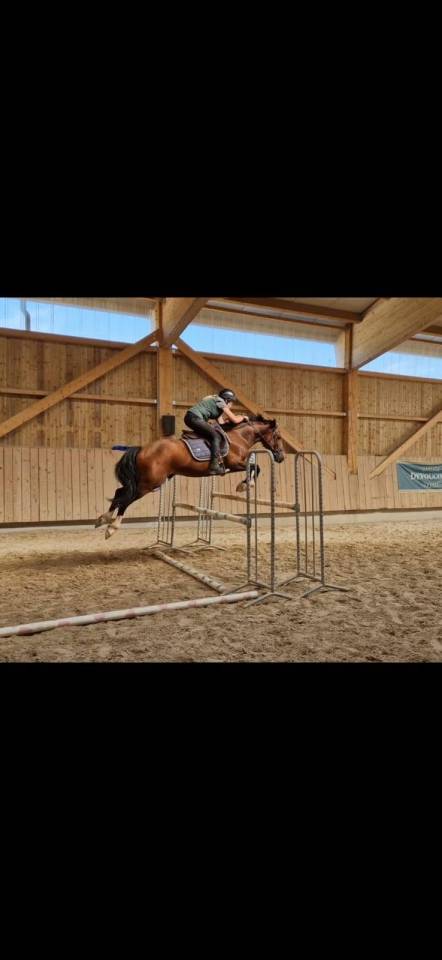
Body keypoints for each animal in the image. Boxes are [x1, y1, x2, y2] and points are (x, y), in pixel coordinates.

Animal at [95, 415, 285, 538]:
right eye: (278, 437)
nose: (281, 457)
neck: (239, 437)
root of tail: (143, 449)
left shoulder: (235, 465)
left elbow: (254, 467)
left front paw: (244, 484)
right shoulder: (235, 463)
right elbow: (256, 467)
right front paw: (245, 485)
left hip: (144, 481)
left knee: (120, 493)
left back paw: (103, 518)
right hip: (149, 484)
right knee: (126, 499)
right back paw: (112, 527)